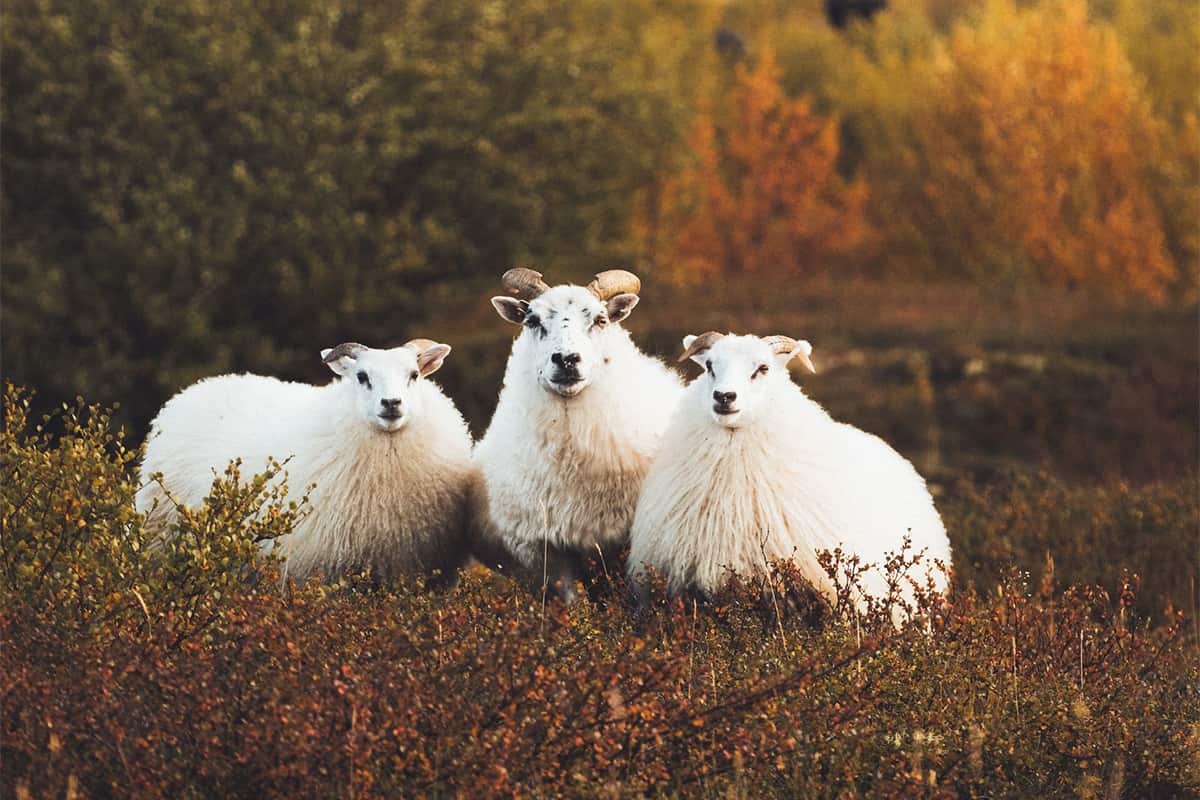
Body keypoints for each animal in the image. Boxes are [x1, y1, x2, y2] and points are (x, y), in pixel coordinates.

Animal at [470, 268, 685, 602]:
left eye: (601, 319)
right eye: (532, 320)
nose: (567, 359)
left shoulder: (621, 543)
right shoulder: (549, 548)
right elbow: (570, 602)